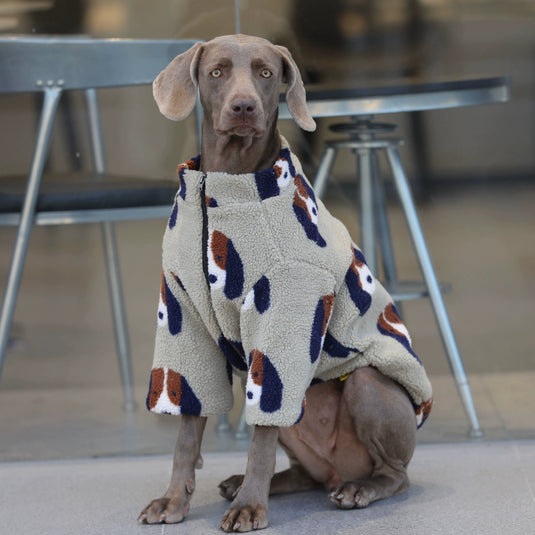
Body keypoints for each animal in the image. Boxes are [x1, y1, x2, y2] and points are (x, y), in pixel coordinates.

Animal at [138, 33, 432, 532]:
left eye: (265, 72)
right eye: (216, 71)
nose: (243, 107)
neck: (225, 184)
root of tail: (338, 470)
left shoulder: (285, 319)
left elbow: (260, 438)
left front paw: (250, 510)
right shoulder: (182, 318)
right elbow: (186, 434)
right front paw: (173, 500)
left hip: (366, 387)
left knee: (395, 472)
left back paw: (356, 489)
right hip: (302, 425)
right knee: (303, 471)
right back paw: (245, 484)